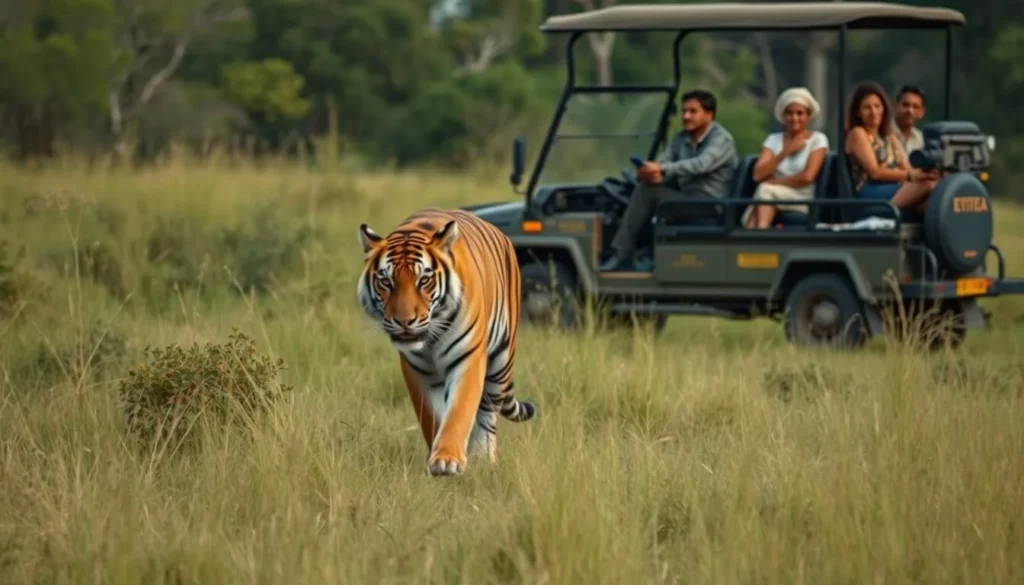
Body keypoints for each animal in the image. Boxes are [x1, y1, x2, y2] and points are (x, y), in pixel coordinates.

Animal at [356, 207, 537, 476]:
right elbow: (432, 417)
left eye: (424, 281)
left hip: (501, 362)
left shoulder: (468, 358)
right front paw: (438, 455)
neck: (431, 338)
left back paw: (483, 458)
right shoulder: (416, 371)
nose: (404, 321)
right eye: (386, 282)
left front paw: (447, 460)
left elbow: (460, 410)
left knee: (488, 414)